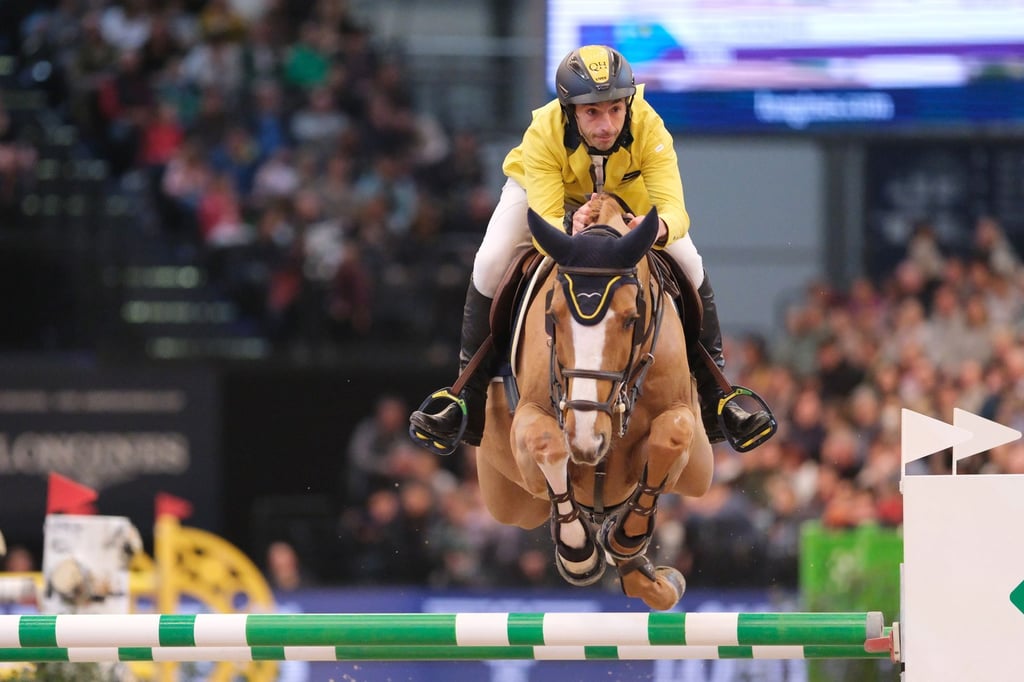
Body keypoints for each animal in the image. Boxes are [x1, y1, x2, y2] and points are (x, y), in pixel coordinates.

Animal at [477, 193, 712, 606]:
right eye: (552, 316)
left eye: (632, 318)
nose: (588, 437)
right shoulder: (531, 432)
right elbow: (545, 442)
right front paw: (577, 553)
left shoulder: (684, 431)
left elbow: (672, 433)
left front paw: (627, 536)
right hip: (509, 499)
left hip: (700, 473)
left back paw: (648, 572)